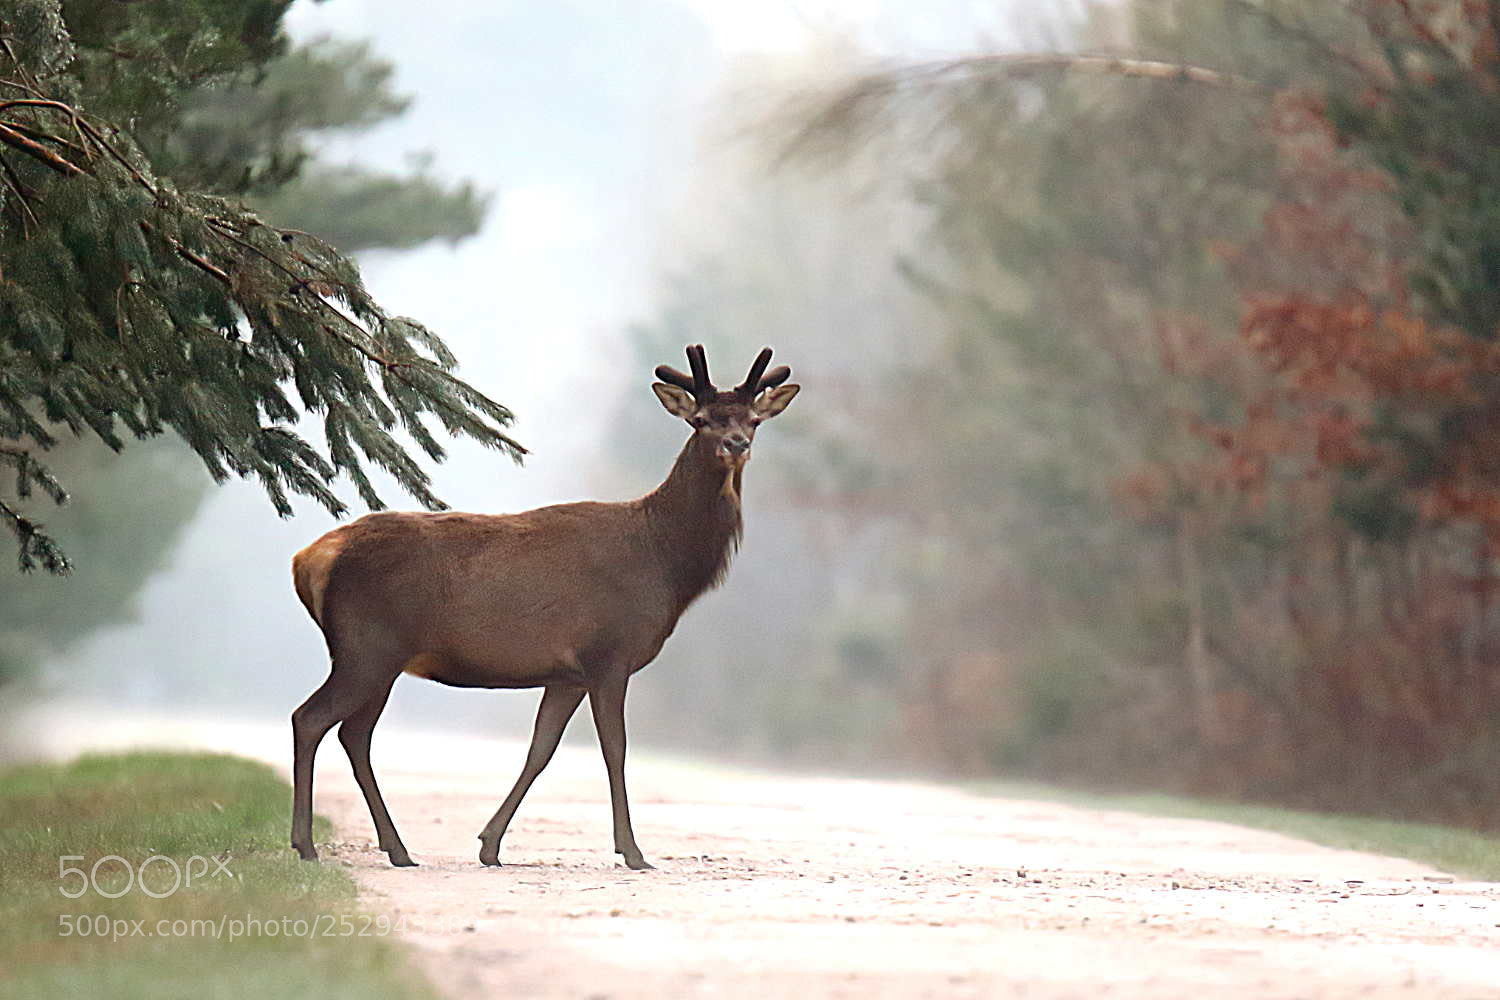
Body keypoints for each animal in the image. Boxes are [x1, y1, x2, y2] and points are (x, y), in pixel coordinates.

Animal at [289, 345, 799, 870]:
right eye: (700, 420)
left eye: (754, 419)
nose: (736, 444)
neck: (666, 565)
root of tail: (309, 558)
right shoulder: (608, 654)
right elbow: (615, 749)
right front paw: (633, 850)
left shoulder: (566, 674)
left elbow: (541, 749)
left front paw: (489, 844)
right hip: (367, 647)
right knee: (311, 719)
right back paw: (307, 843)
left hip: (378, 658)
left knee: (354, 735)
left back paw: (397, 848)